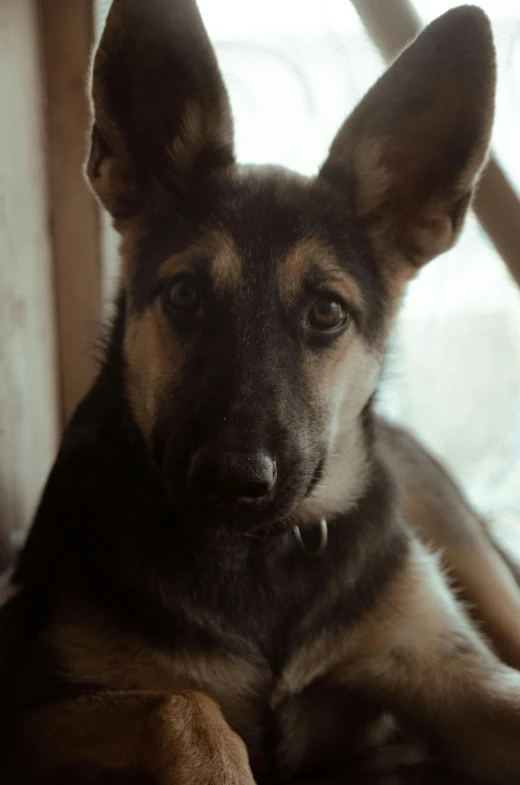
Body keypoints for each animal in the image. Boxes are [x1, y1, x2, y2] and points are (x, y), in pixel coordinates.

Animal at [3, 1, 520, 784]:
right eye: (185, 295)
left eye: (328, 311)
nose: (230, 478)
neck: (261, 558)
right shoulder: (31, 707)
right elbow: (184, 706)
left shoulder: (448, 666)